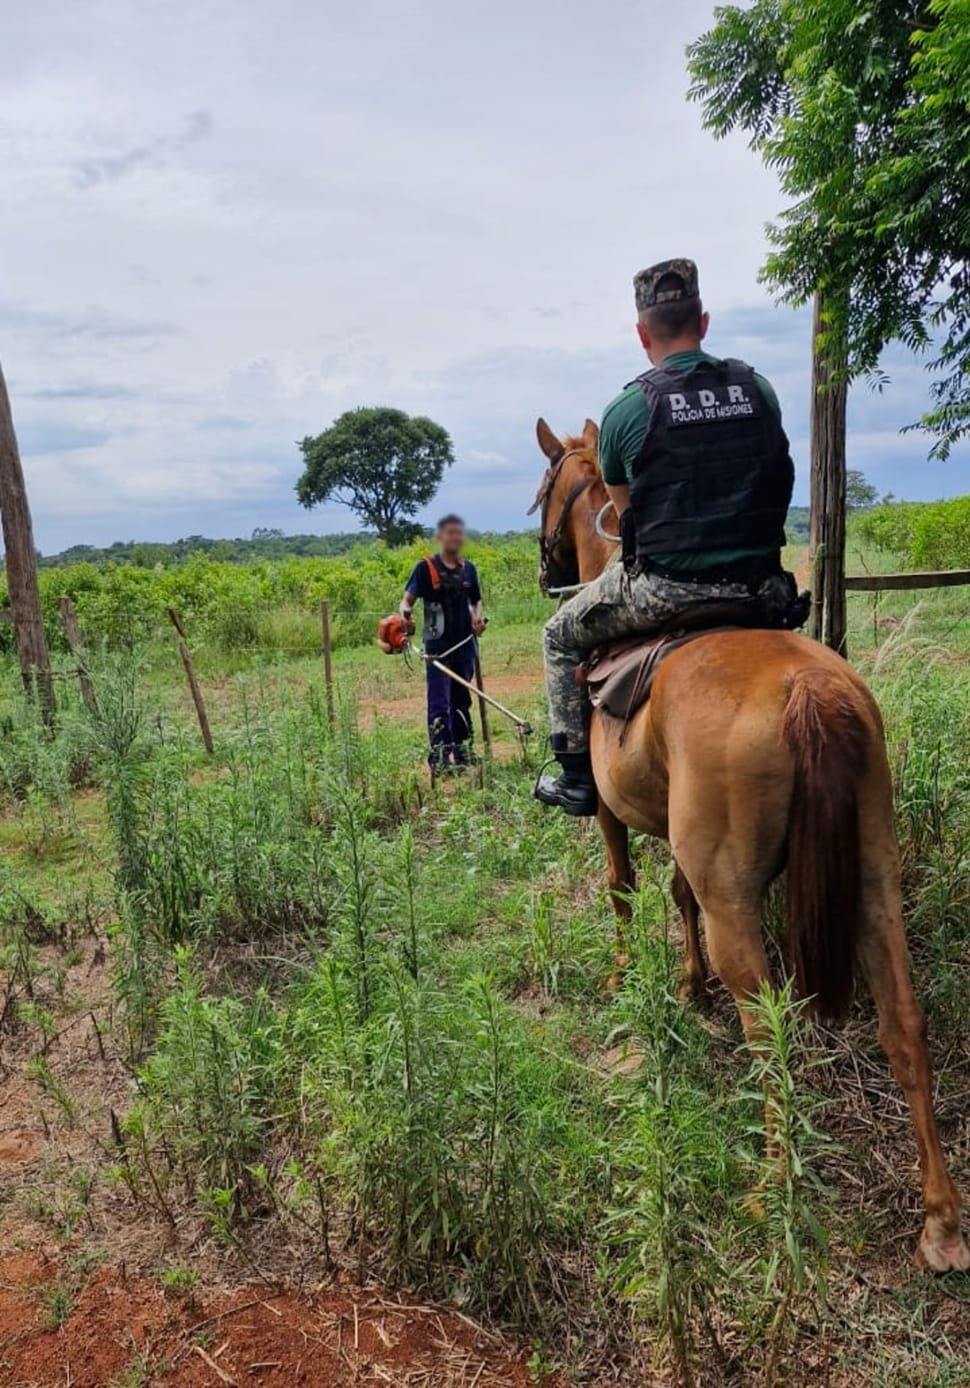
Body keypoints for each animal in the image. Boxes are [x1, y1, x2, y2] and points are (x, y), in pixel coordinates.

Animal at [535, 416, 965, 1271]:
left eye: (542, 492)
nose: (543, 567)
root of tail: (811, 689)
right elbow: (676, 894)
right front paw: (689, 983)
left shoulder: (612, 814)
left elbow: (624, 889)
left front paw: (633, 978)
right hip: (873, 876)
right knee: (904, 1022)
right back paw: (940, 1220)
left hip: (740, 904)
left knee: (769, 1033)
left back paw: (773, 1191)